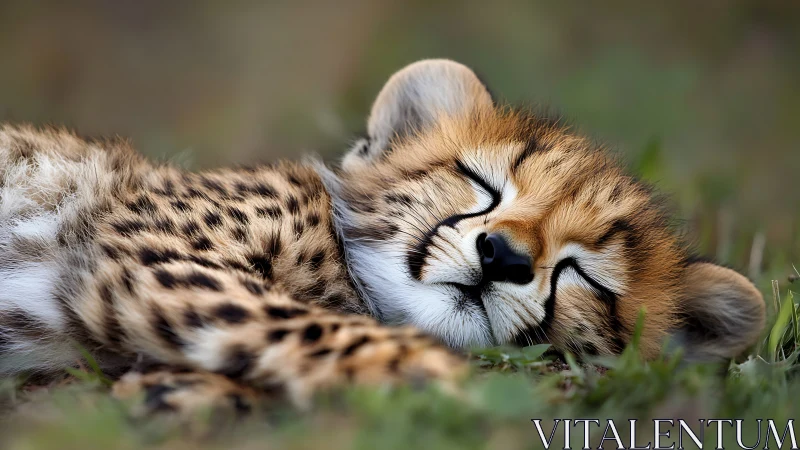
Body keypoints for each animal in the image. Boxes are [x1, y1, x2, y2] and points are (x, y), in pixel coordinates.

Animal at [0, 59, 765, 415]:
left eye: (585, 273)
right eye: (480, 183)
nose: (503, 256)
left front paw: (174, 393)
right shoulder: (153, 252)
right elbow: (306, 324)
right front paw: (442, 377)